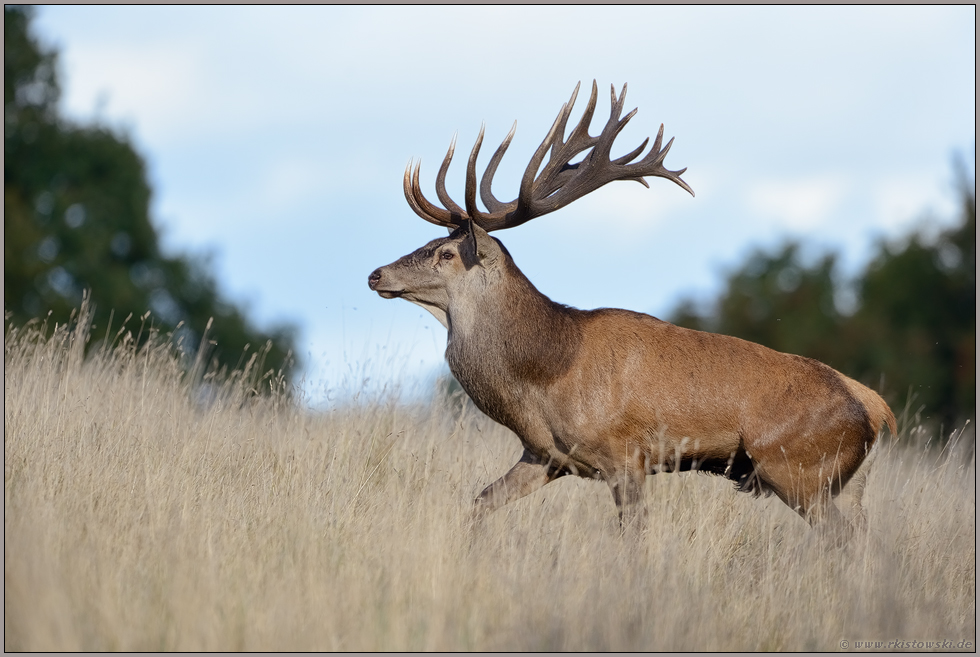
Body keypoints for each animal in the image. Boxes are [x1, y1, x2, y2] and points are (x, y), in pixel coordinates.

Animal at [368, 81, 896, 533]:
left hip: (799, 468)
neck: (547, 375)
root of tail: (877, 409)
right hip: (843, 485)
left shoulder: (625, 455)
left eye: (445, 253)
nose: (376, 274)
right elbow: (477, 504)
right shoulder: (544, 456)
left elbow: (633, 538)